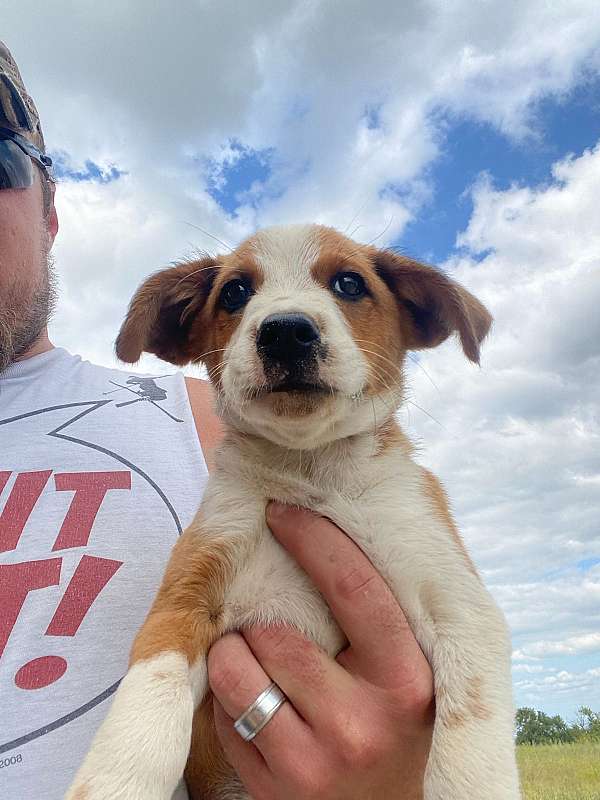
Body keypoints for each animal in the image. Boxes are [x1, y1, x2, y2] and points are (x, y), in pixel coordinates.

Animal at [67, 225, 520, 800]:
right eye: (235, 292)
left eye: (349, 283)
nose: (285, 330)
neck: (311, 474)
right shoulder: (184, 600)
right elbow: (146, 707)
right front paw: (116, 780)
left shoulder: (458, 604)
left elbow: (470, 745)